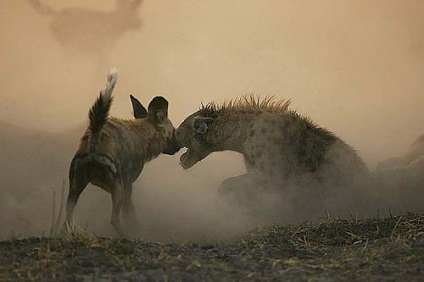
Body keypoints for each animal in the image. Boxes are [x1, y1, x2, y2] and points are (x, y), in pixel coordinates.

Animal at [65, 71, 179, 236]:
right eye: (174, 131)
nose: (178, 145)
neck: (145, 132)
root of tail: (95, 137)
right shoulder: (127, 185)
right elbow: (130, 212)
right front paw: (136, 228)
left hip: (75, 187)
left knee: (67, 216)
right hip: (117, 187)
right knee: (114, 219)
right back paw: (128, 235)